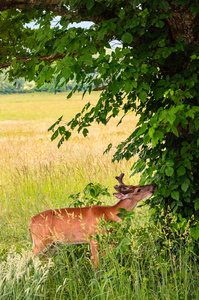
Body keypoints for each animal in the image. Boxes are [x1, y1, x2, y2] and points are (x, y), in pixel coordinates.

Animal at [29, 173, 157, 268]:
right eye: (138, 190)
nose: (154, 184)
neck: (109, 214)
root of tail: (31, 222)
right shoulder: (94, 237)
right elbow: (96, 260)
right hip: (40, 240)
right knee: (30, 255)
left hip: (54, 244)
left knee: (43, 258)